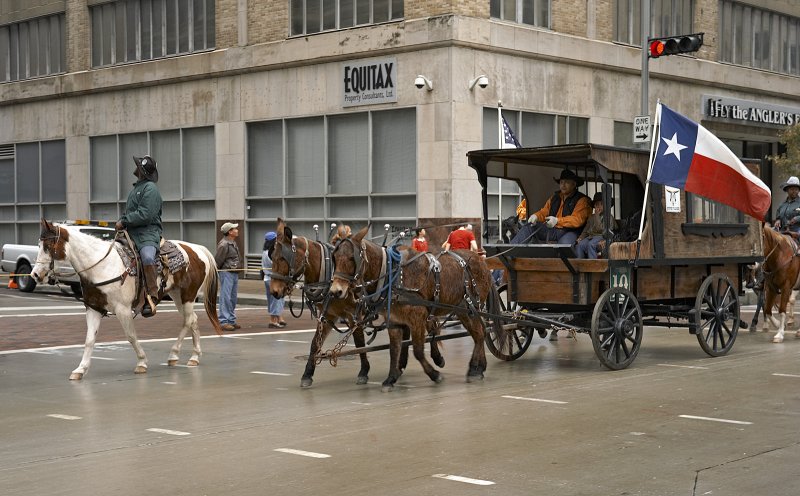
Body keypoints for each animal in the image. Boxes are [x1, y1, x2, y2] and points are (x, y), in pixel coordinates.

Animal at [32, 219, 222, 378]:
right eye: (39, 244)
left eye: (48, 245)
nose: (35, 274)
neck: (101, 266)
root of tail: (198, 249)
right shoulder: (93, 308)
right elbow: (89, 340)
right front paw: (80, 369)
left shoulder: (122, 309)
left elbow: (130, 336)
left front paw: (142, 362)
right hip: (177, 295)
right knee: (193, 320)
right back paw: (193, 356)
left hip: (188, 295)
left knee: (188, 321)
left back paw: (175, 354)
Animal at [328, 225, 496, 392]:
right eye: (335, 257)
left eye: (352, 258)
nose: (336, 291)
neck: (394, 276)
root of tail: (481, 260)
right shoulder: (394, 322)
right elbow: (394, 350)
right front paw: (391, 378)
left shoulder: (417, 319)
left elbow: (418, 351)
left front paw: (434, 374)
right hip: (463, 310)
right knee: (480, 333)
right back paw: (480, 367)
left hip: (470, 308)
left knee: (479, 334)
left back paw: (474, 369)